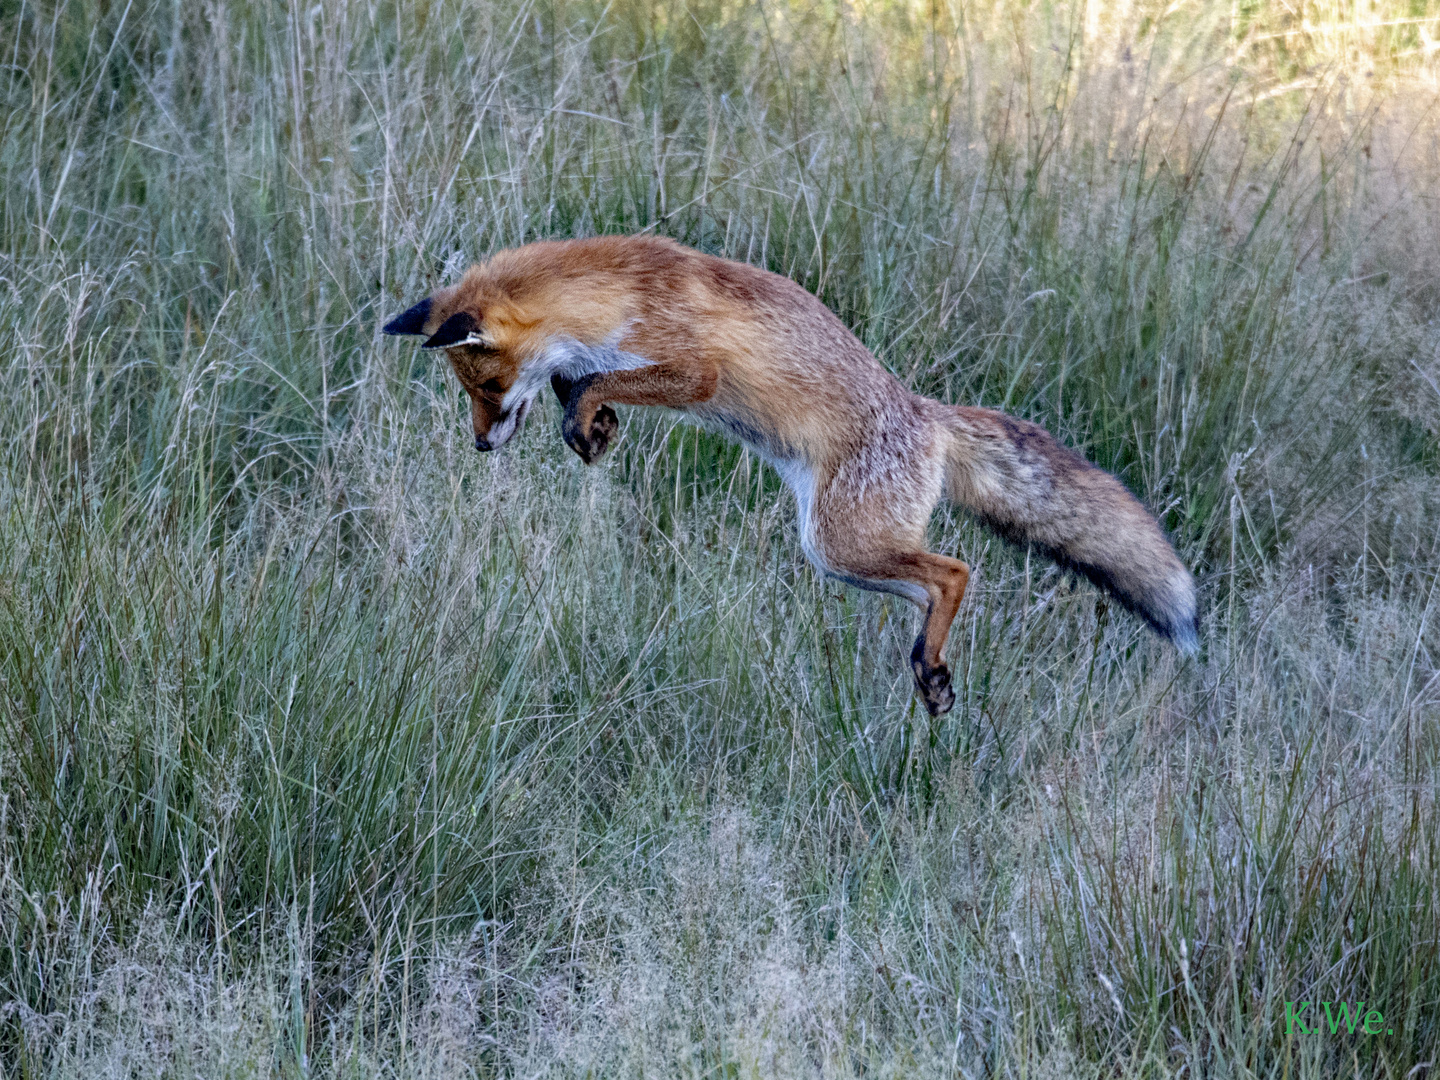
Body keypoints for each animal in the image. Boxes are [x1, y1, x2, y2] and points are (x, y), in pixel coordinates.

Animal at [380, 234, 1192, 720]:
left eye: (487, 386)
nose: (481, 447)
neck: (618, 294)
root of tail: (927, 416)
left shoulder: (693, 369)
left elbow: (597, 383)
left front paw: (586, 420)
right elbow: (579, 383)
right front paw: (592, 427)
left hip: (840, 542)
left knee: (955, 572)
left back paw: (931, 661)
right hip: (837, 554)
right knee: (931, 589)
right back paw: (929, 670)